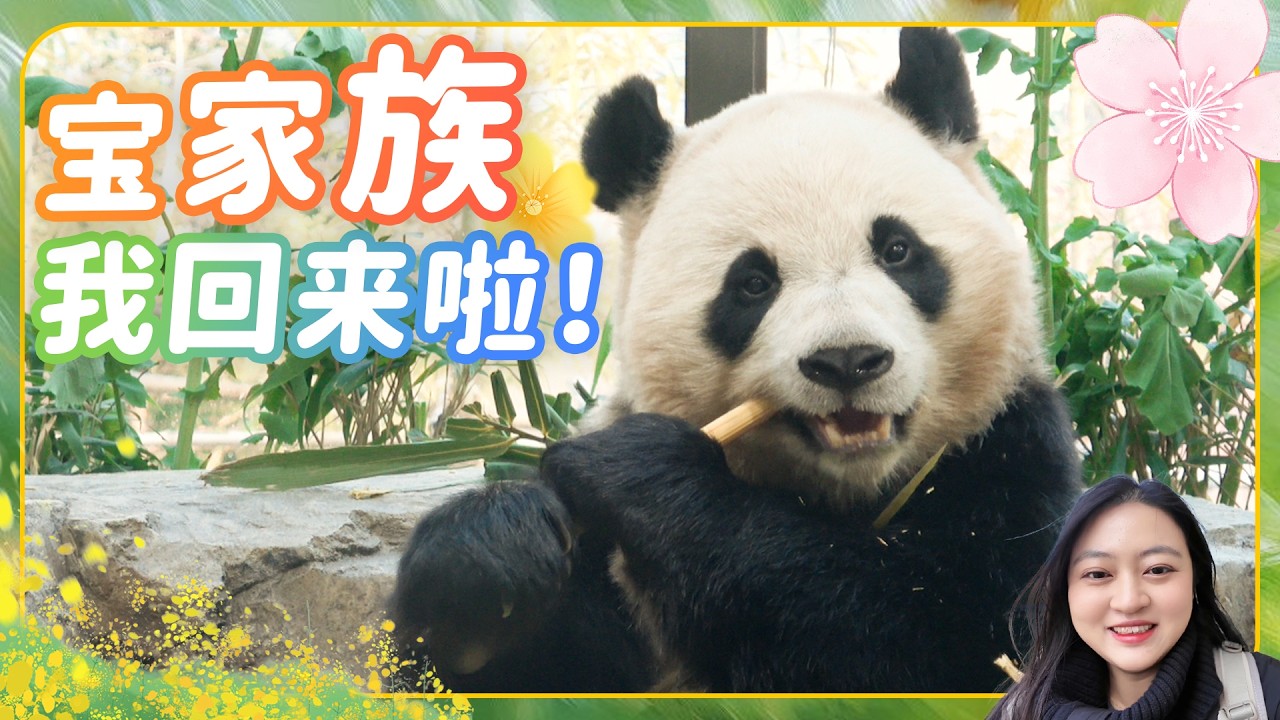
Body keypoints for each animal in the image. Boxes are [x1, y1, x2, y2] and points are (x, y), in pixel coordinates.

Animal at [390, 26, 1082, 693]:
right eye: (752, 283)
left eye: (898, 250)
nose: (848, 360)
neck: (856, 493)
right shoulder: (607, 583)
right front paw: (482, 571)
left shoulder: (1011, 457)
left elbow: (947, 638)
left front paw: (640, 470)